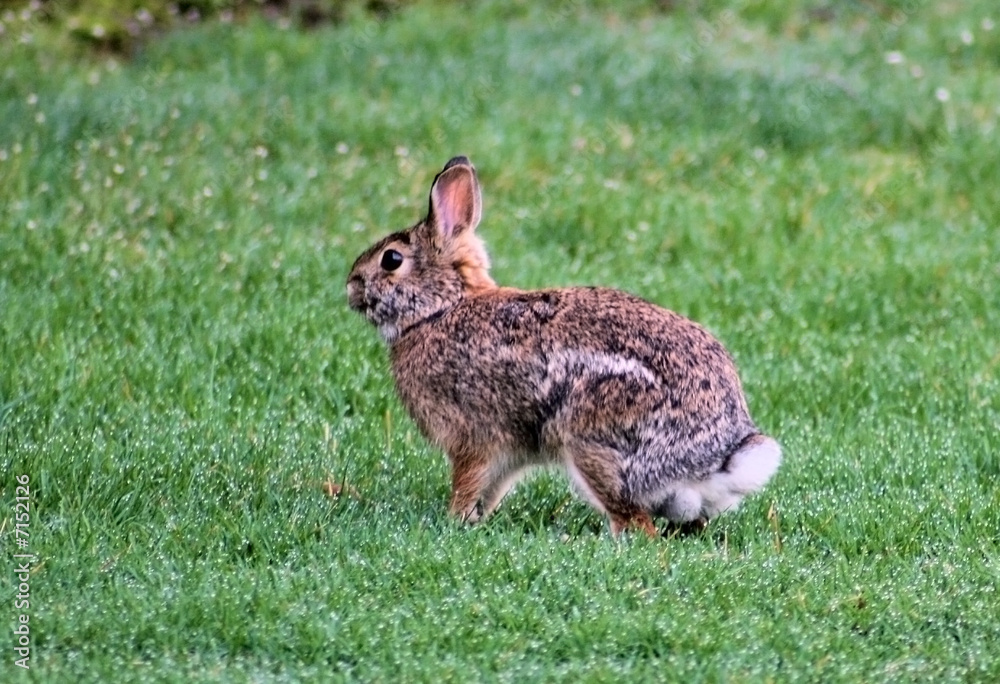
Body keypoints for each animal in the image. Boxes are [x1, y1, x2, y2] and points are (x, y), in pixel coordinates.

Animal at [346, 156, 781, 537]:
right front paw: (473, 520)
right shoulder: (509, 453)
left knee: (637, 524)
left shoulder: (473, 438)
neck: (440, 308)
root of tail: (718, 457)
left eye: (391, 259)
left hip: (593, 441)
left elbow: (468, 481)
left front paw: (453, 519)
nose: (350, 286)